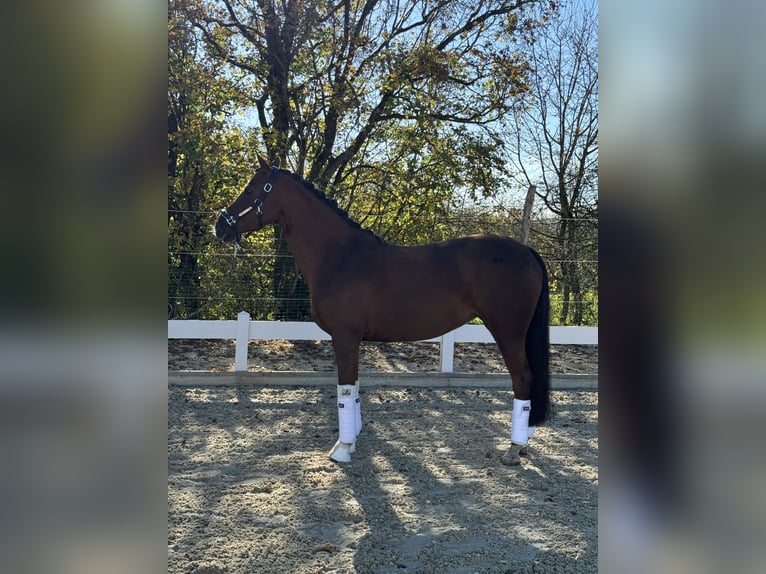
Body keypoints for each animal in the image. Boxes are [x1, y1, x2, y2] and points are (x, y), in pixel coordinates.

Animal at [216, 156, 552, 468]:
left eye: (251, 190)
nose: (219, 226)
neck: (338, 256)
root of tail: (526, 251)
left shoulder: (344, 336)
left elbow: (344, 391)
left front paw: (342, 448)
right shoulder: (352, 339)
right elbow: (354, 389)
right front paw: (352, 440)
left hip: (508, 332)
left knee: (523, 379)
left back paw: (513, 448)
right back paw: (523, 443)